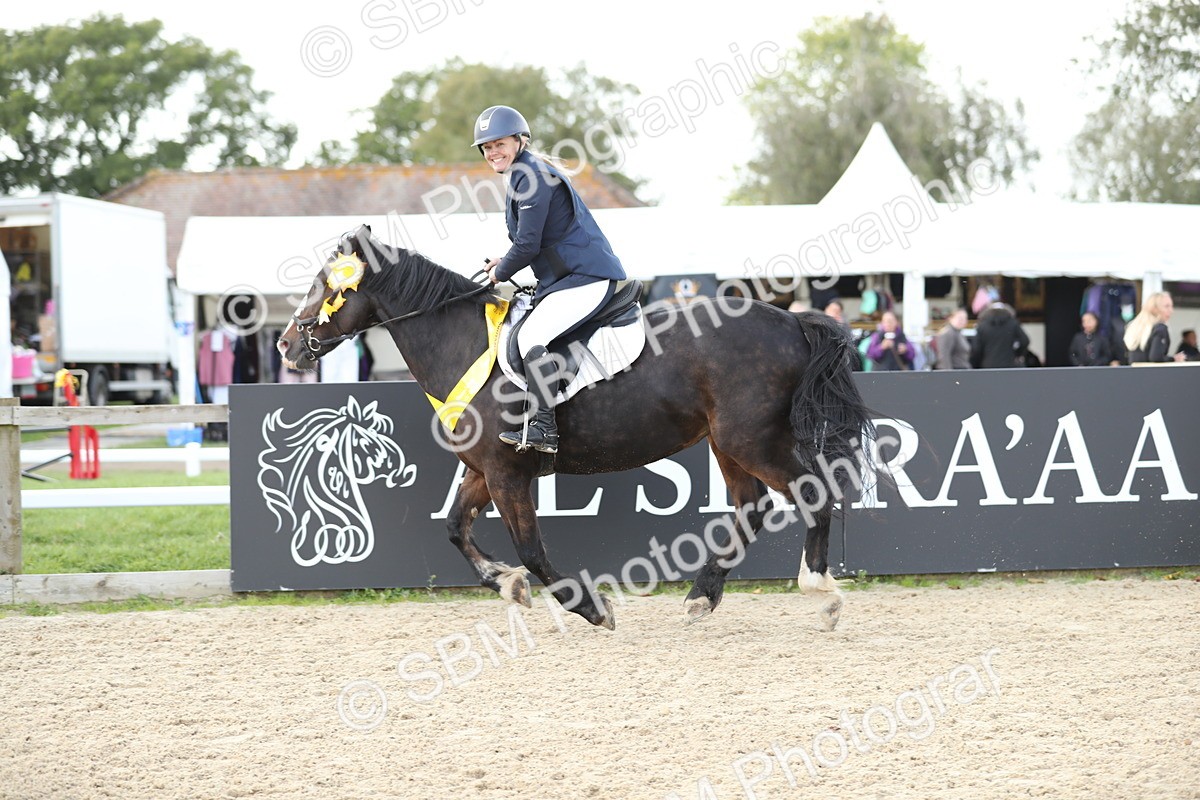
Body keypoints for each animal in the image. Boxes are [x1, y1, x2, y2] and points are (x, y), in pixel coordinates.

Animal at [277, 225, 876, 631]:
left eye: (324, 285)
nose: (285, 345)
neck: (462, 344)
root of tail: (791, 319)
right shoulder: (483, 471)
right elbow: (454, 528)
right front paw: (507, 585)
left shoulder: (508, 473)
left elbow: (531, 550)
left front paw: (589, 606)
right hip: (729, 443)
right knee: (750, 507)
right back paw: (702, 596)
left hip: (748, 439)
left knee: (810, 493)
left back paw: (821, 591)